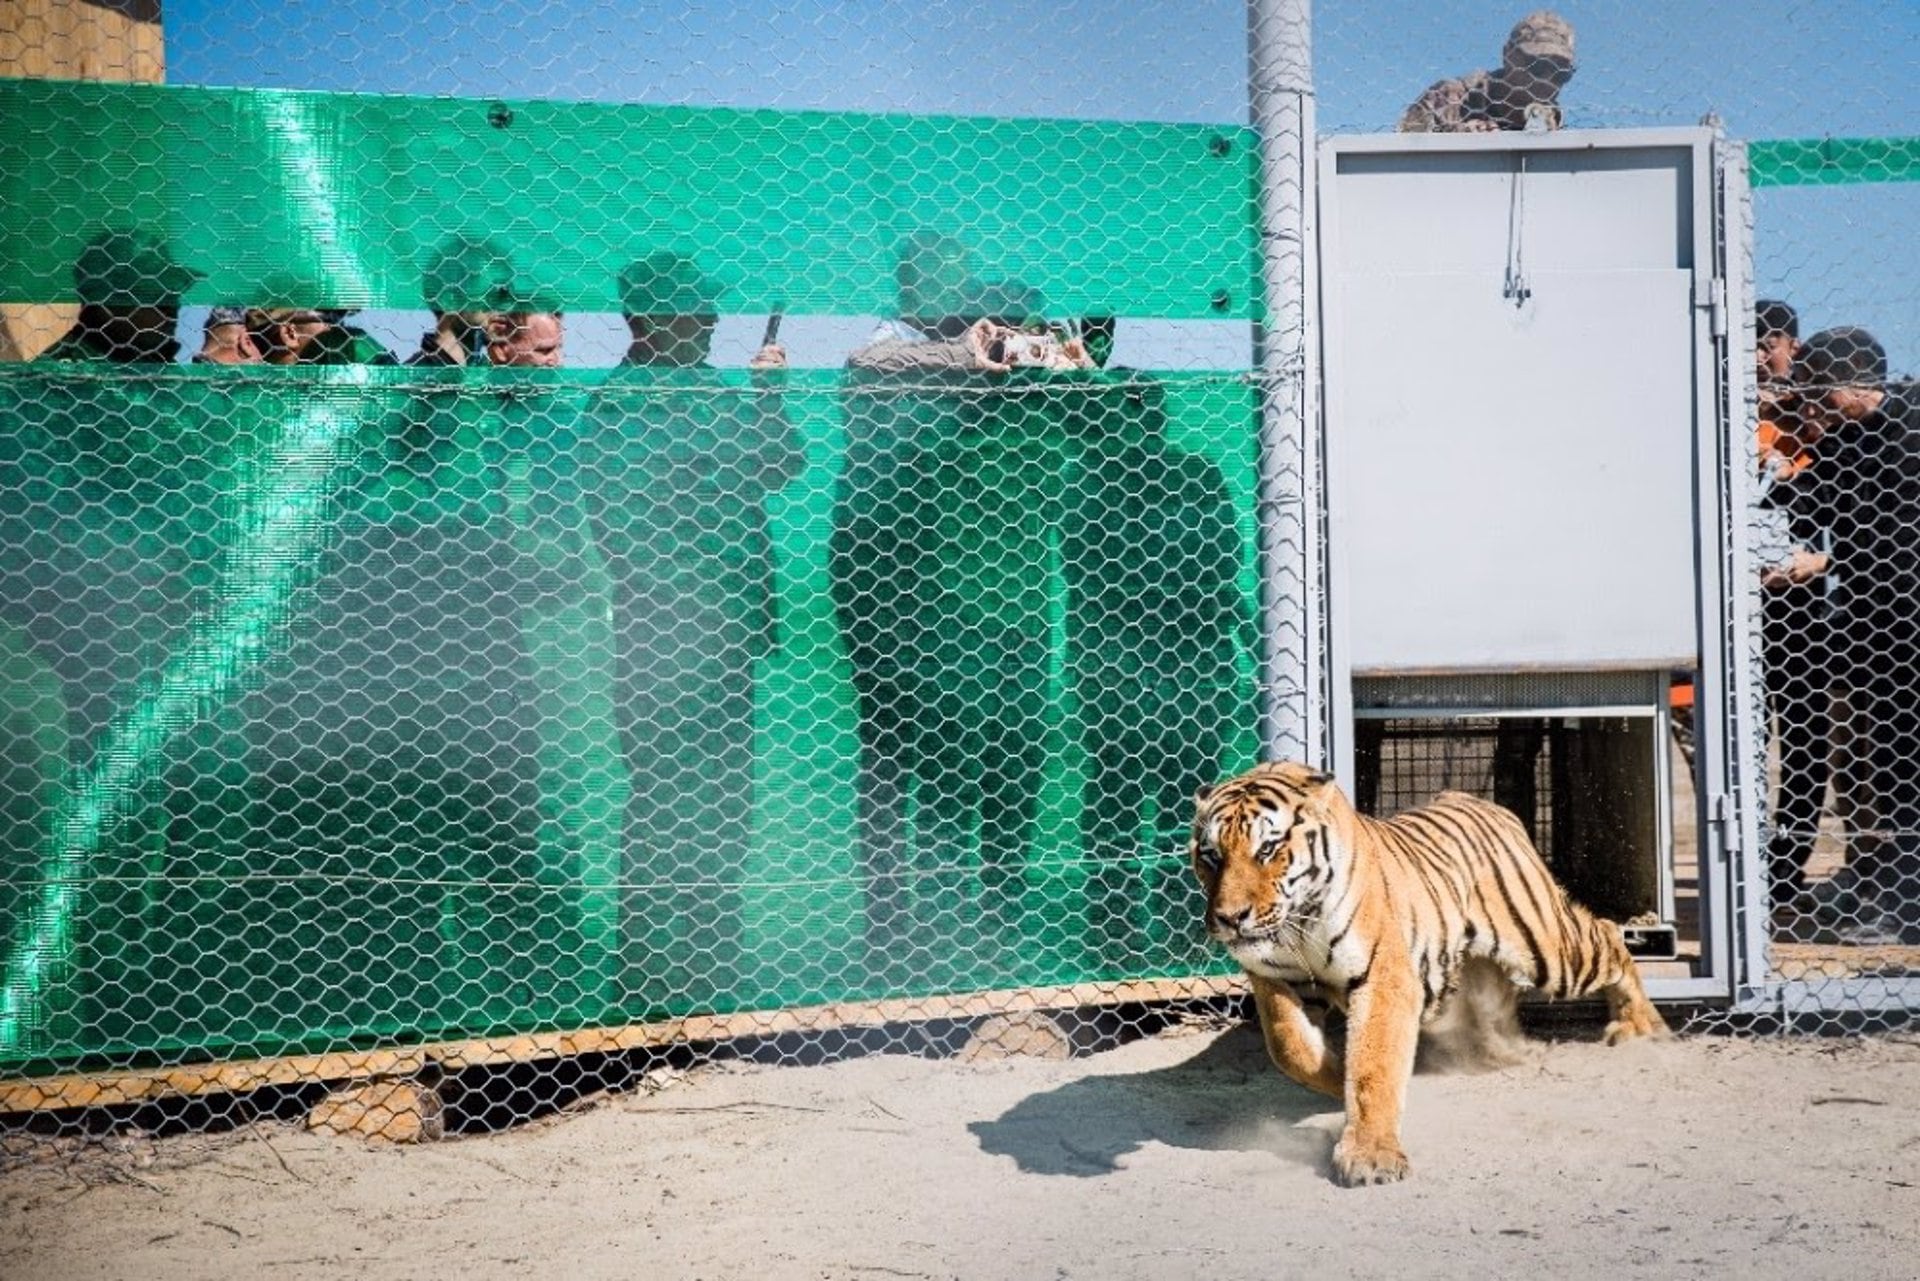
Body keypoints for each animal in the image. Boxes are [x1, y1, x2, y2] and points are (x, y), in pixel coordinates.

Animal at [1182, 756, 1666, 1190]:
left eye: (1267, 849)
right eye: (1211, 856)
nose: (1230, 918)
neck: (1297, 925)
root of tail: (1478, 801)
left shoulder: (1384, 976)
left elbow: (1374, 1064)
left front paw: (1370, 1155)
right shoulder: (1274, 979)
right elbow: (1290, 1048)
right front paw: (1336, 1078)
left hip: (1547, 949)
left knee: (1609, 934)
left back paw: (1642, 1027)